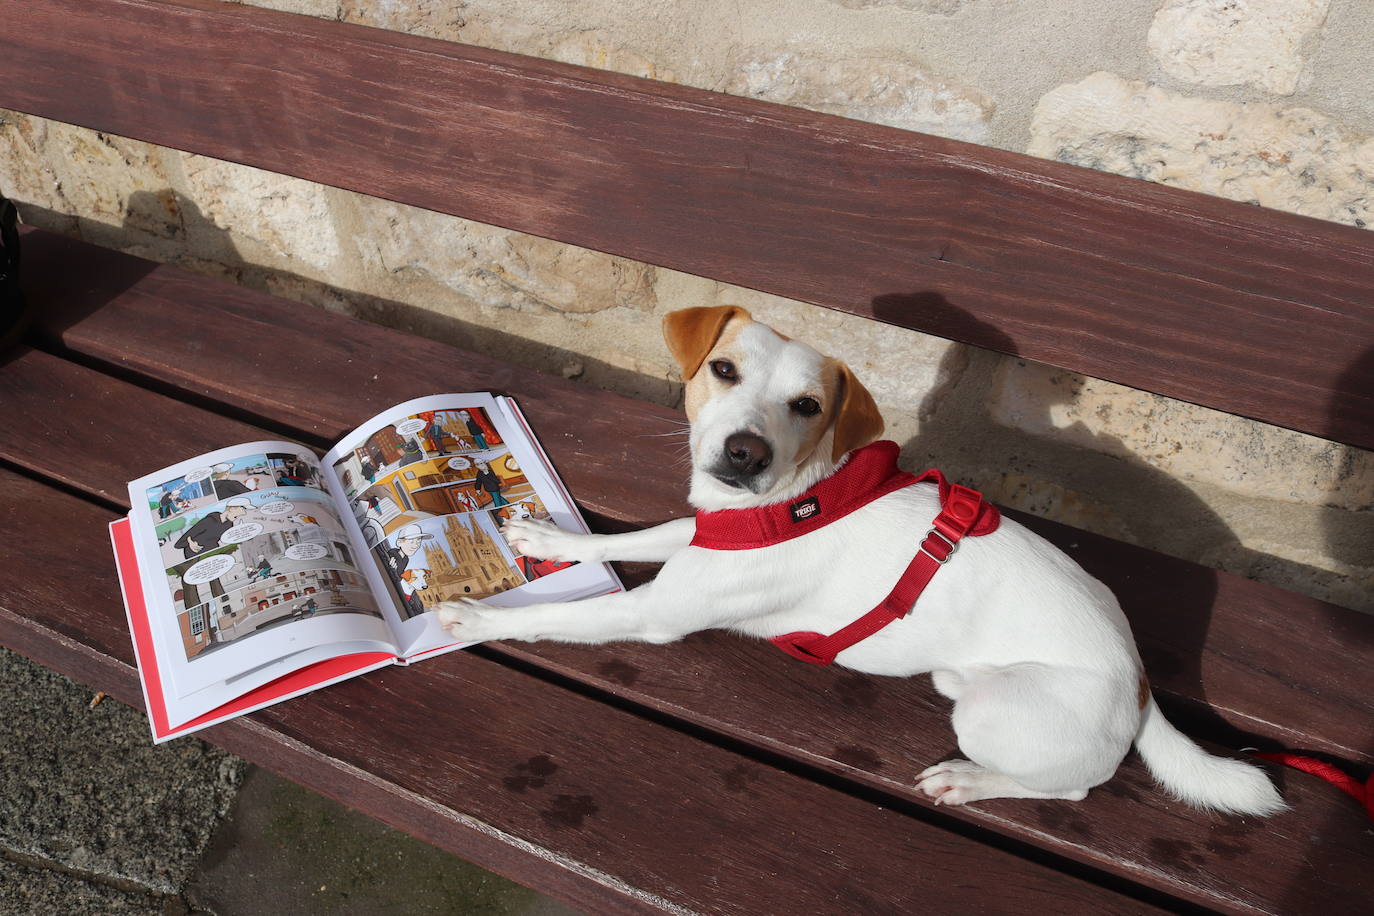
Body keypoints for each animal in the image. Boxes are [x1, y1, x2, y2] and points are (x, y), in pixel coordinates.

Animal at [442, 306, 1286, 818]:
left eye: (808, 407)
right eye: (723, 371)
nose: (744, 454)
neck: (789, 501)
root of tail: (1138, 682)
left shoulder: (653, 612)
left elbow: (558, 615)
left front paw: (472, 616)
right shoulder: (700, 538)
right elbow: (636, 537)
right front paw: (556, 543)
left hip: (993, 714)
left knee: (1076, 789)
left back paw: (969, 779)